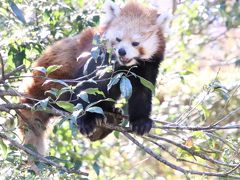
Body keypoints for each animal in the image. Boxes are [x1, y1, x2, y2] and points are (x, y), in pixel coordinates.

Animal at [18, 0, 170, 155]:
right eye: (118, 39)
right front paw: (87, 118)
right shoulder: (95, 56)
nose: (121, 51)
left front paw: (141, 121)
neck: (125, 66)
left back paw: (111, 115)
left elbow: (142, 92)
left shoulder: (148, 66)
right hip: (52, 83)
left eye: (135, 43)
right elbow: (87, 87)